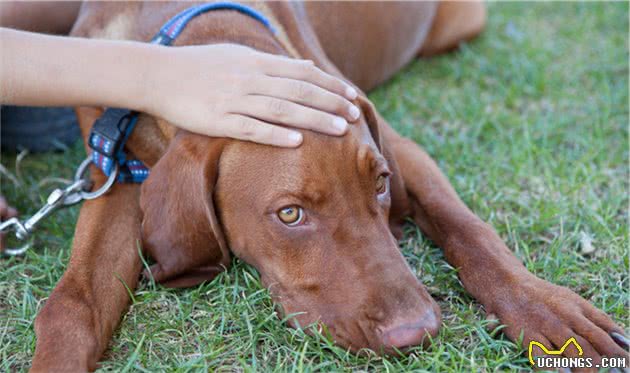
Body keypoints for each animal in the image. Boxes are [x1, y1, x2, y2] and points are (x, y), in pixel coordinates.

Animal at [28, 1, 628, 370]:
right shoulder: (112, 177)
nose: (417, 332)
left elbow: (471, 232)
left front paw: (547, 309)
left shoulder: (400, 148)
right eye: (290, 214)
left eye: (381, 184)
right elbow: (71, 302)